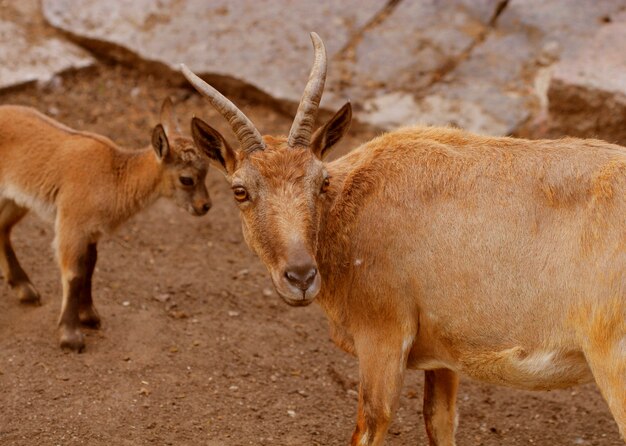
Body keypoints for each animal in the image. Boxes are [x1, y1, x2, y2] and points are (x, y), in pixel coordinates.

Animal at [0, 100, 212, 352]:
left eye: (206, 174)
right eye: (186, 179)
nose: (205, 206)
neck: (113, 176)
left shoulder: (92, 231)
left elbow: (90, 267)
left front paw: (89, 316)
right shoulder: (71, 223)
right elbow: (73, 274)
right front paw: (70, 336)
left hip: (15, 199)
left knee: (2, 228)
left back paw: (25, 289)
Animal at [184, 33, 624, 444]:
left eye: (321, 181)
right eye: (241, 190)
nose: (301, 277)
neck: (353, 207)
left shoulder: (383, 334)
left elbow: (371, 422)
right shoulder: (444, 356)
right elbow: (439, 421)